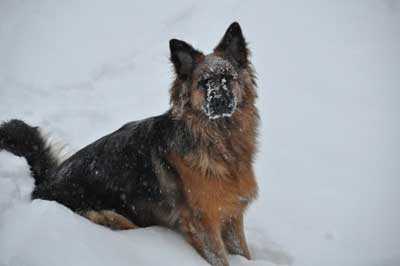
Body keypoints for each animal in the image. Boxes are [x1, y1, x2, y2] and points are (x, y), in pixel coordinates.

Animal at [0, 22, 260, 266]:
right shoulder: (203, 223)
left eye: (228, 79)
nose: (219, 102)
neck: (220, 141)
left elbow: (243, 252)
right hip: (111, 217)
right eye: (204, 83)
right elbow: (220, 257)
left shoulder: (231, 215)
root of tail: (42, 185)